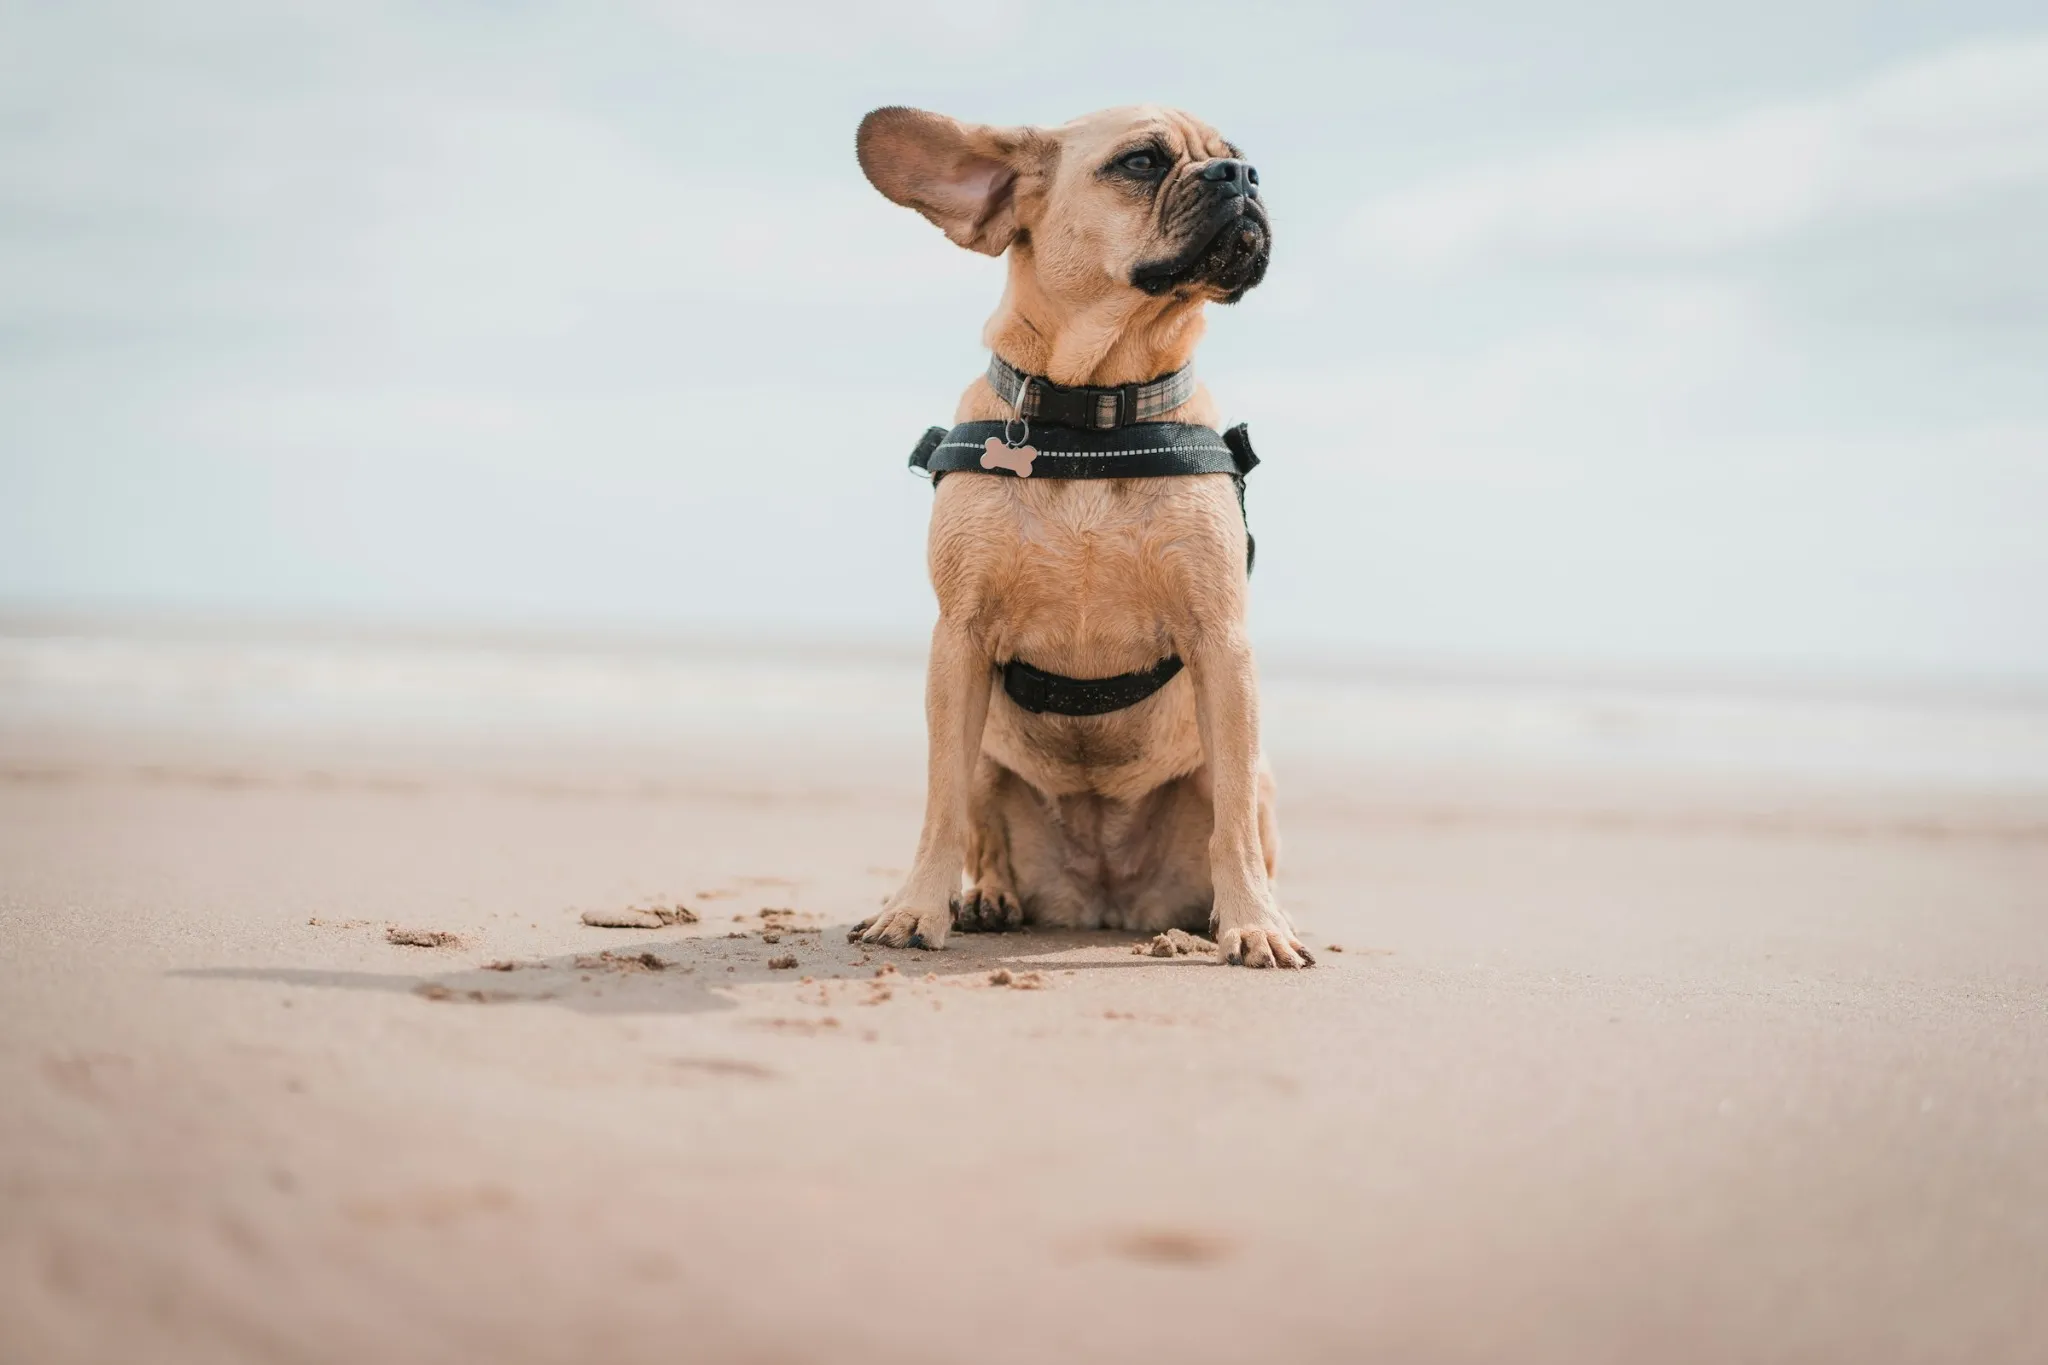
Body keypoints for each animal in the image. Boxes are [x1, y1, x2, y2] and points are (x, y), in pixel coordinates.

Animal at [847, 106, 1310, 970]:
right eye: (1141, 161)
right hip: (991, 756)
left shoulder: (1222, 644)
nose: (1243, 176)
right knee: (982, 824)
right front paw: (915, 906)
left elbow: (1230, 819)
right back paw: (989, 898)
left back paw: (1226, 916)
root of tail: (1104, 900)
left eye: (1239, 158)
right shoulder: (958, 644)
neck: (1098, 405)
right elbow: (940, 803)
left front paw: (1255, 922)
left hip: (1252, 771)